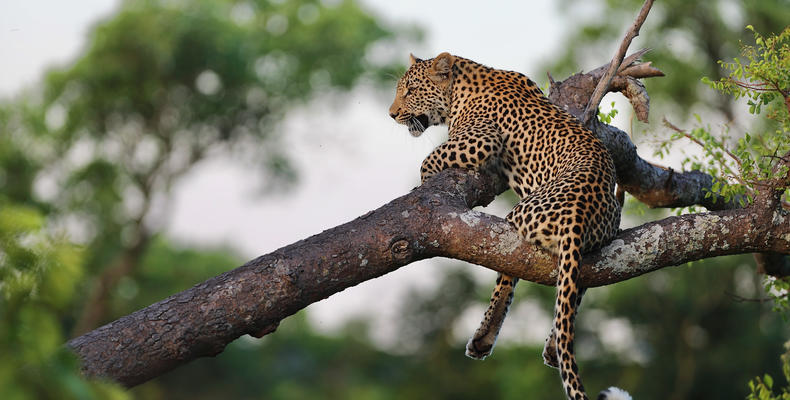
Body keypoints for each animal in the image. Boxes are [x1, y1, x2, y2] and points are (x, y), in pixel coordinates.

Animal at [389, 52, 628, 400]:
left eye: (410, 90)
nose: (391, 114)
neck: (462, 83)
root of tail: (579, 215)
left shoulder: (479, 138)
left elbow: (428, 160)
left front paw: (422, 183)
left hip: (517, 219)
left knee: (508, 276)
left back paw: (484, 338)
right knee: (573, 292)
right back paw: (552, 347)